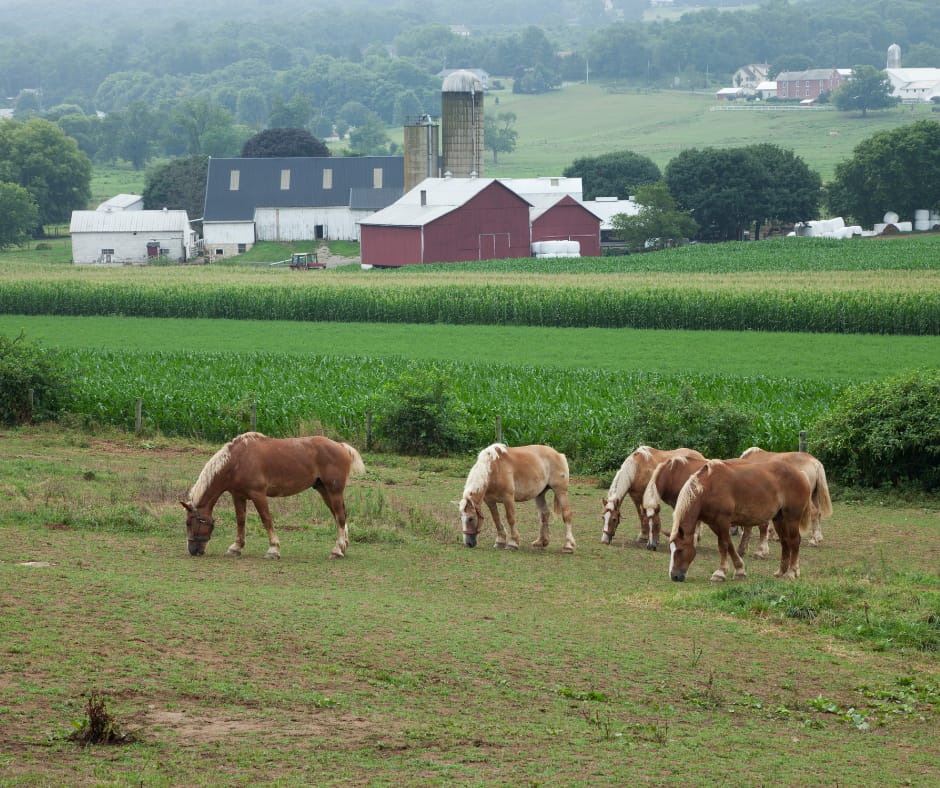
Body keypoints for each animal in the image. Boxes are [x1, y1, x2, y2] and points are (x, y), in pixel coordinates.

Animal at [180, 432, 365, 560]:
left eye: (189, 523)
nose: (193, 551)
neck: (237, 460)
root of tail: (341, 446)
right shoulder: (238, 496)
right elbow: (240, 521)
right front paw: (236, 548)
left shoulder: (258, 495)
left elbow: (266, 520)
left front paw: (273, 550)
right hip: (324, 490)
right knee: (339, 516)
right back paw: (343, 547)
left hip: (334, 491)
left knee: (340, 517)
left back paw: (337, 550)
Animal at [668, 458, 812, 583]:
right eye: (671, 549)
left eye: (680, 550)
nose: (674, 576)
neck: (708, 487)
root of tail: (801, 474)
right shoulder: (714, 524)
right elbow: (730, 545)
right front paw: (739, 570)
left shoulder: (723, 521)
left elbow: (723, 545)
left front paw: (720, 573)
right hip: (779, 519)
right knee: (785, 542)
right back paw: (781, 571)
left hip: (792, 518)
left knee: (794, 541)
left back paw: (792, 572)